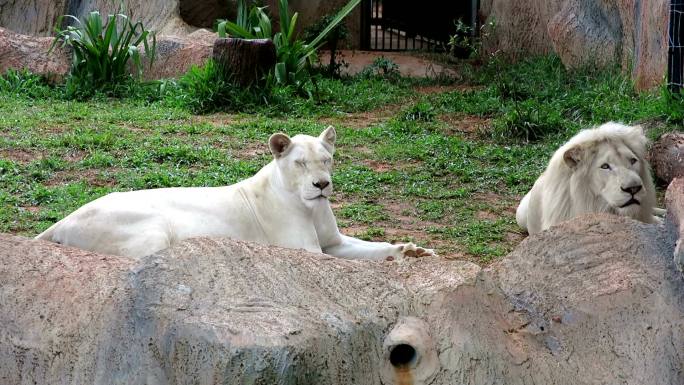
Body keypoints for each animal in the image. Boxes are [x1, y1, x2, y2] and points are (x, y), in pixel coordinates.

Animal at [36, 127, 432, 260]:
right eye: (300, 163)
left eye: (327, 159)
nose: (322, 185)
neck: (312, 206)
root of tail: (63, 220)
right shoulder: (307, 250)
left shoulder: (333, 242)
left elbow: (371, 248)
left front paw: (413, 251)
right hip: (150, 230)